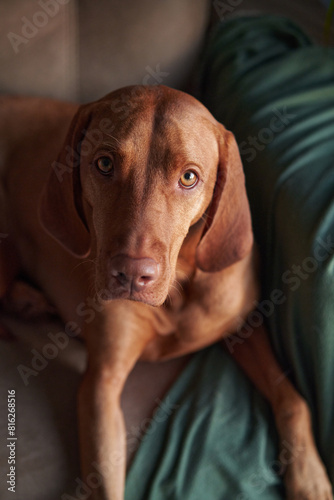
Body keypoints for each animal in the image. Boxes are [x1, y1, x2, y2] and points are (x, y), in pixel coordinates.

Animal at [0, 87, 332, 500]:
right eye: (104, 163)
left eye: (189, 177)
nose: (130, 274)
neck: (178, 292)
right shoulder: (100, 386)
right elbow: (106, 484)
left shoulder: (244, 326)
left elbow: (292, 399)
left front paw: (310, 476)